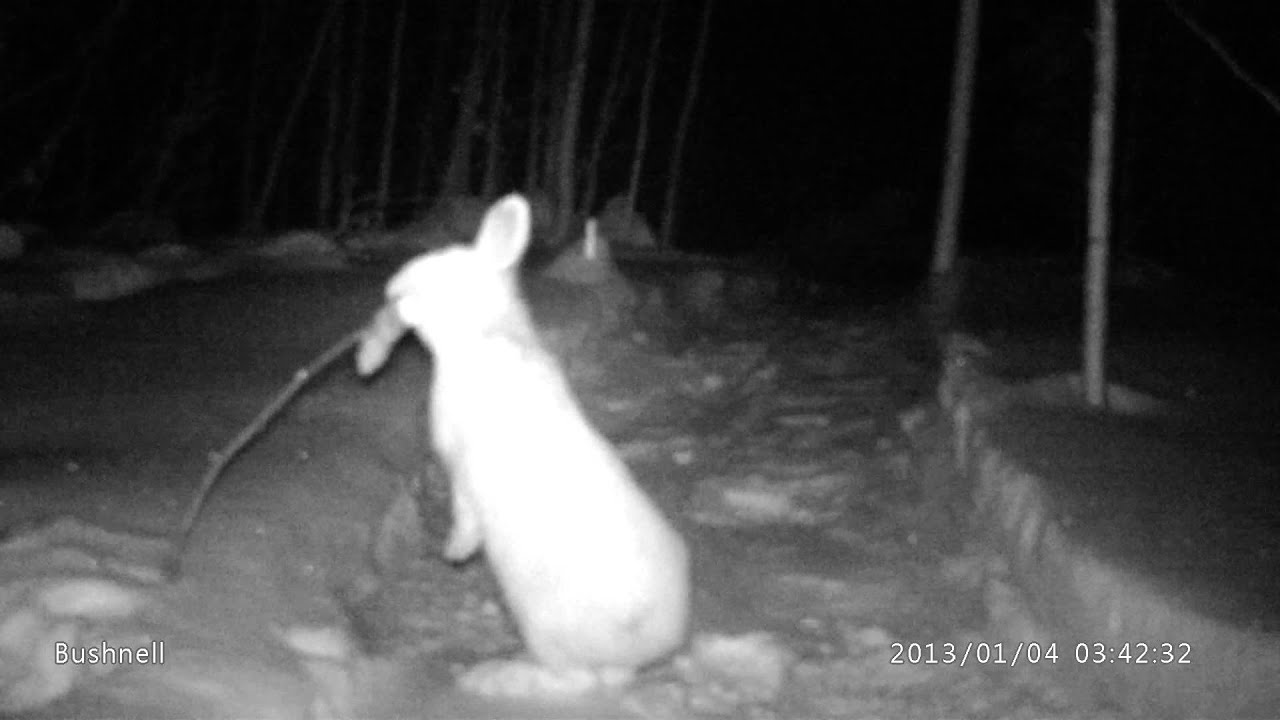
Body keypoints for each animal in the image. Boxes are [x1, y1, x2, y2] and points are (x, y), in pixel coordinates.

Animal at [376, 193, 689, 697]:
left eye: (443, 278)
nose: (391, 288)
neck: (480, 335)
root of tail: (647, 643)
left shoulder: (465, 471)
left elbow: (466, 516)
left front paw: (454, 553)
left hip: (544, 629)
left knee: (577, 680)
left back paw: (497, 677)